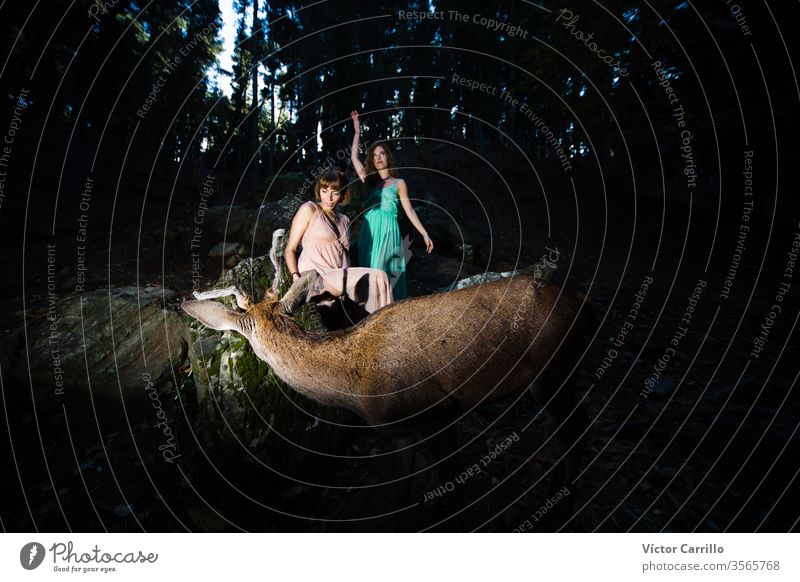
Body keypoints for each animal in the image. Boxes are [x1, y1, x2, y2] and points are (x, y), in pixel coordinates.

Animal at [181, 232, 592, 528]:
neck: (354, 385)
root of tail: (581, 303)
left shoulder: (431, 414)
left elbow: (434, 489)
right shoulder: (413, 428)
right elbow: (419, 489)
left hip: (551, 369)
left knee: (575, 429)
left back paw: (562, 503)